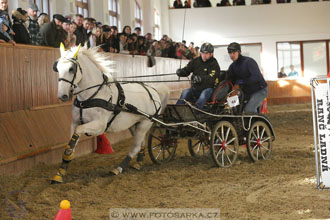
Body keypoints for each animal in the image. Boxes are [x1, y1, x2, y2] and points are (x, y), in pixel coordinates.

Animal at [52, 43, 170, 184]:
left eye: (71, 69)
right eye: (57, 68)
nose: (62, 96)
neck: (91, 96)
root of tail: (153, 90)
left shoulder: (99, 126)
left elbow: (78, 134)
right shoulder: (74, 123)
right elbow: (70, 146)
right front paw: (60, 173)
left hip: (145, 123)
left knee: (135, 147)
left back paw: (118, 169)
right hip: (135, 125)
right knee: (141, 143)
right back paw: (138, 163)